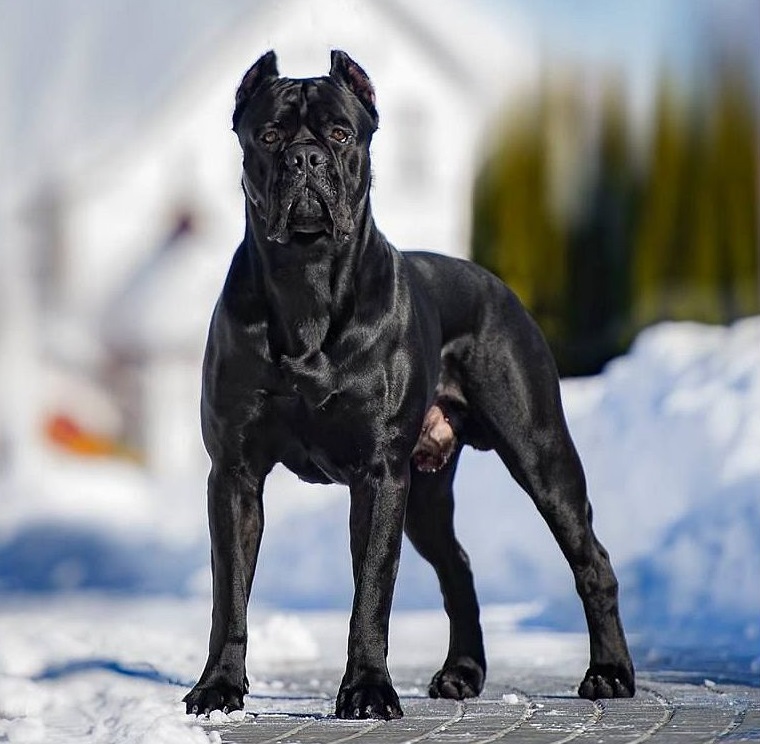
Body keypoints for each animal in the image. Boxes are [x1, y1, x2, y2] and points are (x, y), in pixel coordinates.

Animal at [186, 48, 636, 720]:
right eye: (267, 136)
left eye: (340, 133)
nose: (304, 159)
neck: (306, 283)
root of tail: (497, 285)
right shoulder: (236, 474)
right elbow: (230, 590)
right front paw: (218, 685)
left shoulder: (379, 475)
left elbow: (373, 589)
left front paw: (368, 690)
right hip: (425, 495)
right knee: (459, 568)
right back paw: (462, 672)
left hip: (540, 454)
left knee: (591, 558)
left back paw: (609, 672)